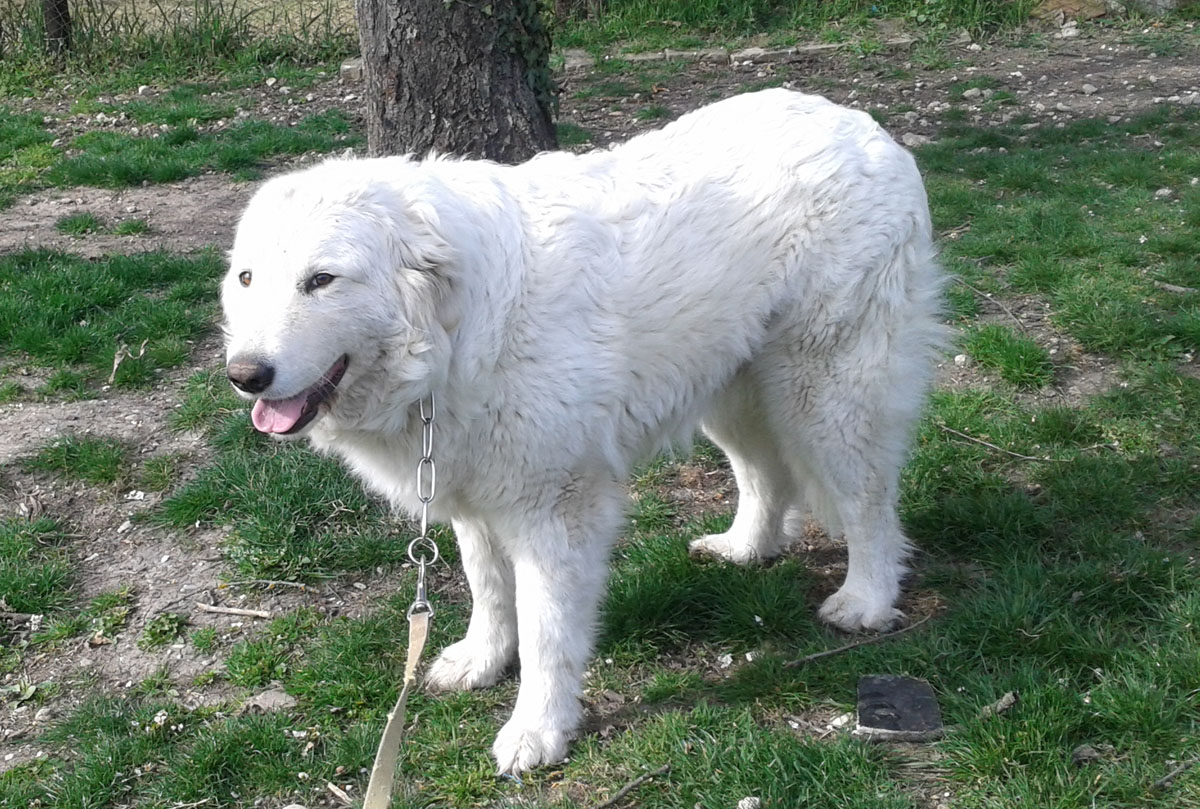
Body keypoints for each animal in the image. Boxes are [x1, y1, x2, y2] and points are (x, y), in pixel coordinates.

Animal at [221, 88, 946, 773]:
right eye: (247, 278)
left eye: (321, 281)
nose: (245, 375)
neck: (452, 334)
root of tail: (859, 124)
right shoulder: (473, 492)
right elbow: (489, 589)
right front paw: (482, 660)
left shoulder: (554, 510)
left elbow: (546, 631)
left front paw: (536, 732)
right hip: (729, 390)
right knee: (765, 475)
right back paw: (745, 547)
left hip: (826, 394)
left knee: (869, 503)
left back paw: (866, 598)